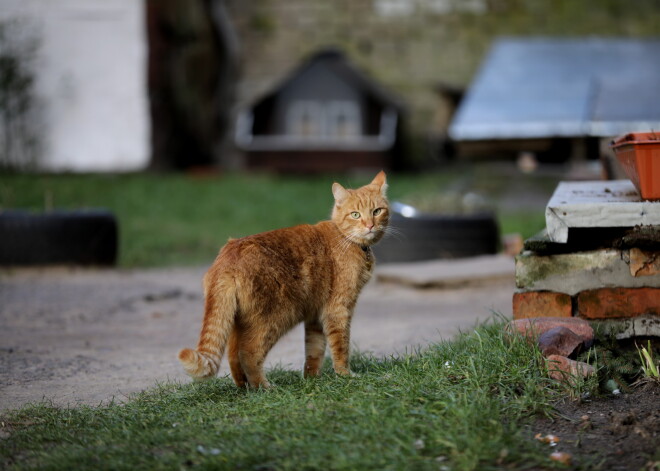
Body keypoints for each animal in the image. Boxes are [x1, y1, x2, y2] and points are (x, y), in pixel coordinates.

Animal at [178, 171, 390, 390]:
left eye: (377, 211)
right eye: (355, 214)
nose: (370, 225)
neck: (346, 240)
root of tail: (227, 259)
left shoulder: (315, 314)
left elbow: (314, 350)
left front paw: (312, 380)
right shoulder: (338, 309)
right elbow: (340, 347)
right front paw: (345, 375)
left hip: (239, 320)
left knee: (233, 354)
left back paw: (245, 387)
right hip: (274, 319)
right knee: (248, 353)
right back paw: (263, 388)